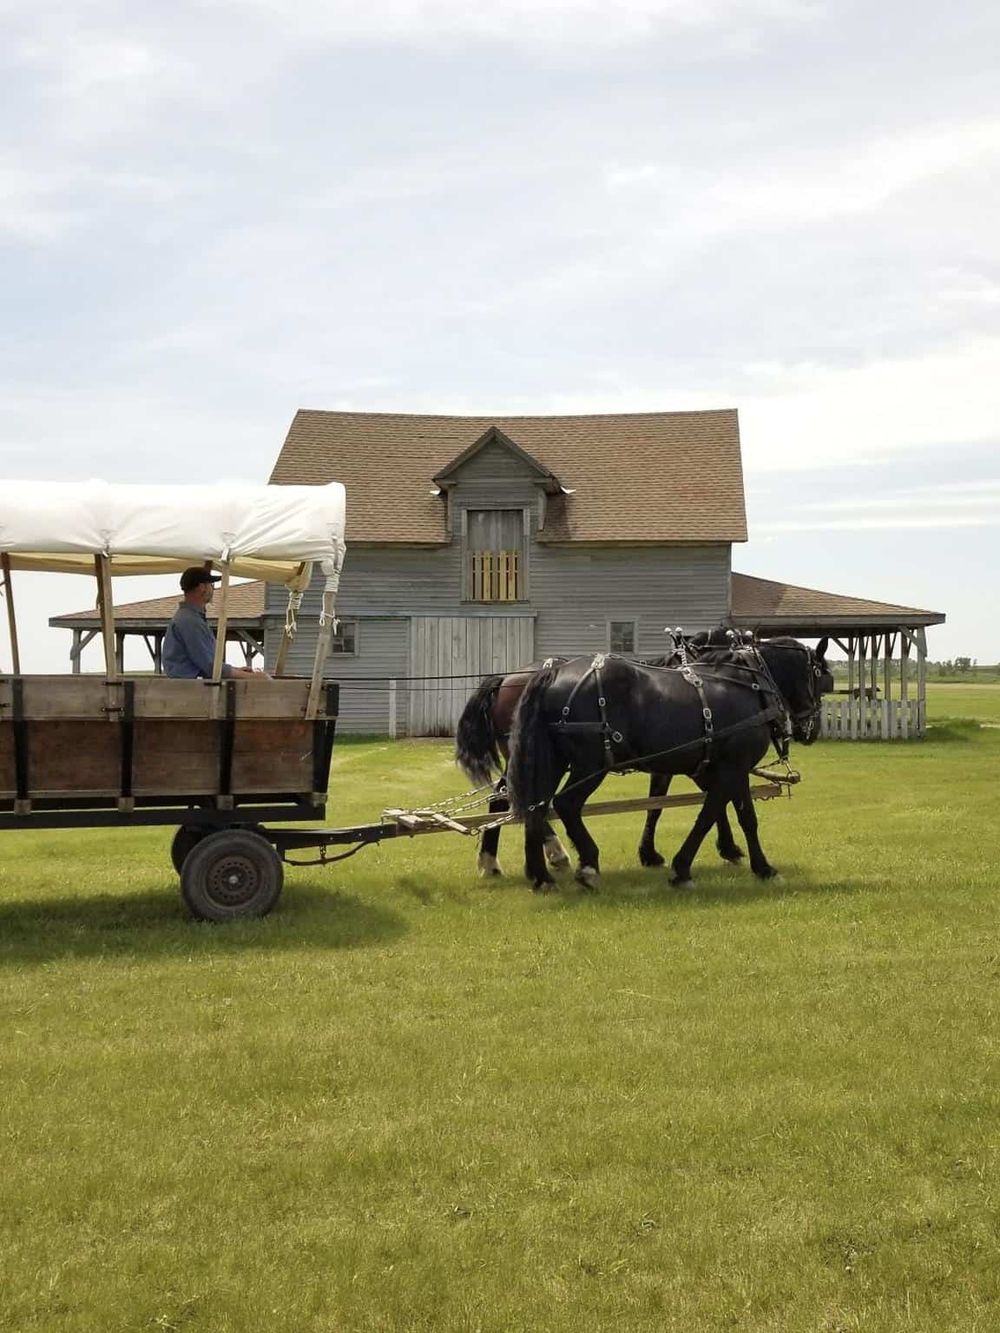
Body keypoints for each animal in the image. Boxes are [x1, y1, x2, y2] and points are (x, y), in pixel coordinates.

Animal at [454, 628, 752, 877]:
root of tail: (506, 678)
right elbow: (699, 800)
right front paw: (727, 848)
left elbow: (661, 805)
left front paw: (651, 853)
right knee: (516, 798)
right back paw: (552, 855)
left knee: (509, 798)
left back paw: (496, 862)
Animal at [505, 636, 832, 891]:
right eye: (821, 679)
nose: (810, 730)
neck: (750, 684)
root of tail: (553, 673)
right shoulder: (731, 768)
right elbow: (708, 815)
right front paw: (682, 869)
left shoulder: (728, 769)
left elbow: (745, 818)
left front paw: (761, 867)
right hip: (591, 763)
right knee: (566, 803)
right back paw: (587, 866)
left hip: (551, 761)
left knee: (534, 807)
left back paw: (542, 877)